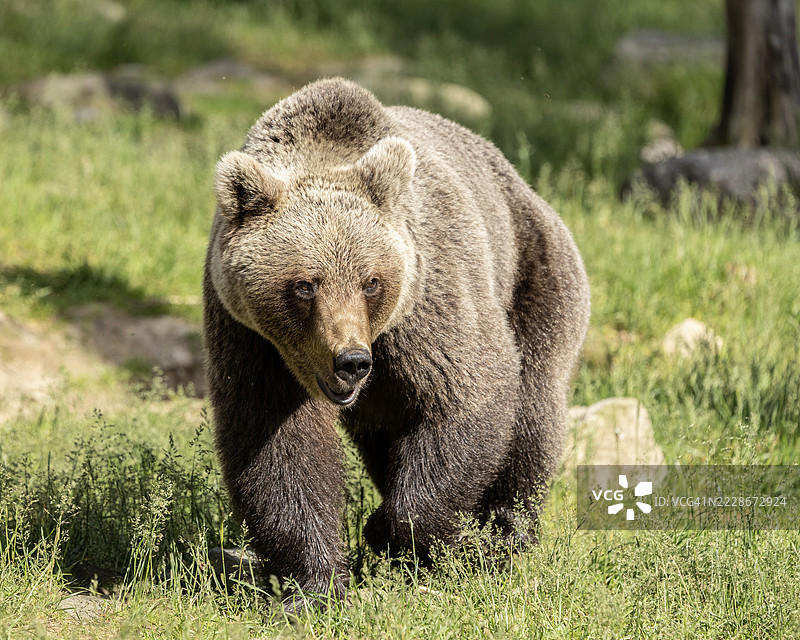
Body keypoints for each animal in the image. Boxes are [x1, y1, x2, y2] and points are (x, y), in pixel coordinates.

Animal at [203, 77, 590, 608]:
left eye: (371, 281)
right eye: (305, 284)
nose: (351, 361)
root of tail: (524, 187)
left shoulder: (429, 302)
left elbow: (468, 395)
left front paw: (398, 533)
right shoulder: (250, 338)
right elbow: (278, 445)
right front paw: (312, 584)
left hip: (537, 274)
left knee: (534, 409)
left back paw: (503, 533)